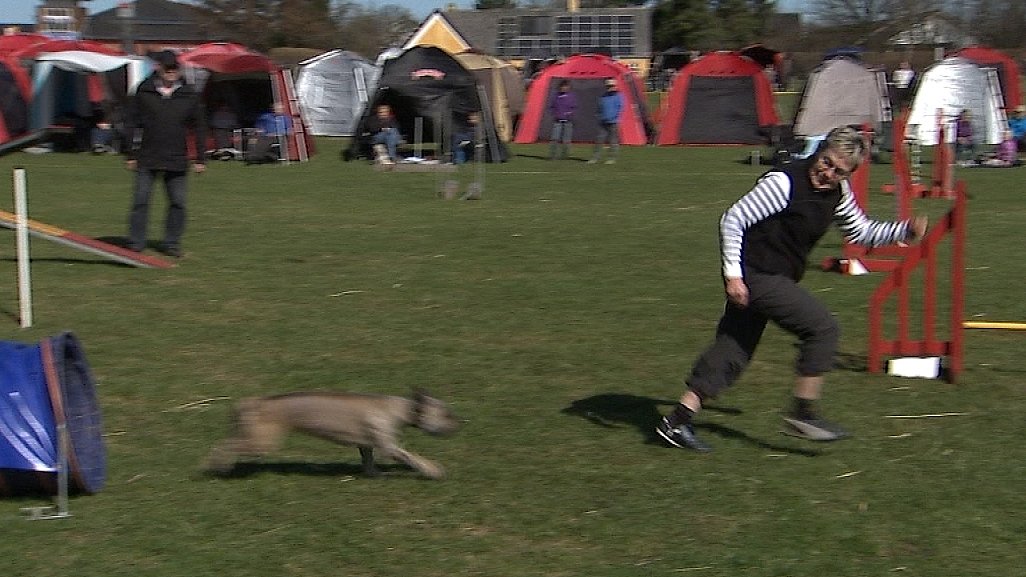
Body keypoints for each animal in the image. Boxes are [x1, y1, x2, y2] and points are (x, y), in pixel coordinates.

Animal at [204, 388, 461, 478]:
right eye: (446, 415)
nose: (460, 423)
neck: (400, 409)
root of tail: (254, 403)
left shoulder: (366, 445)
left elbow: (368, 460)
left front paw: (373, 474)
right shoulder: (389, 447)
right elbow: (414, 458)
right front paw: (433, 470)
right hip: (262, 443)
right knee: (222, 445)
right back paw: (218, 466)